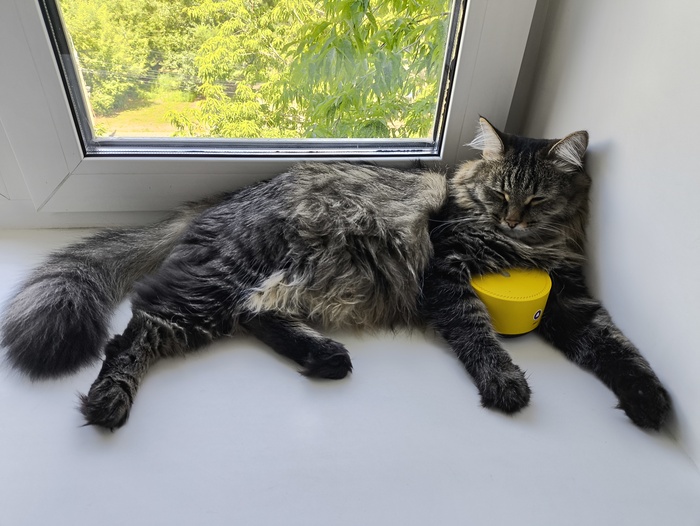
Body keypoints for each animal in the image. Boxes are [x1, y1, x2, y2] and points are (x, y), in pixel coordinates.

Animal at [0, 118, 671, 431]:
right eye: (496, 194)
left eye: (534, 201)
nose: (508, 219)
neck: (517, 249)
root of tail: (221, 199)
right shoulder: (448, 276)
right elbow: (478, 332)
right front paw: (504, 382)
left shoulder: (571, 298)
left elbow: (616, 347)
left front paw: (650, 398)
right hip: (217, 286)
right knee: (134, 334)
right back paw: (108, 400)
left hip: (276, 282)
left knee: (254, 312)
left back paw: (324, 357)